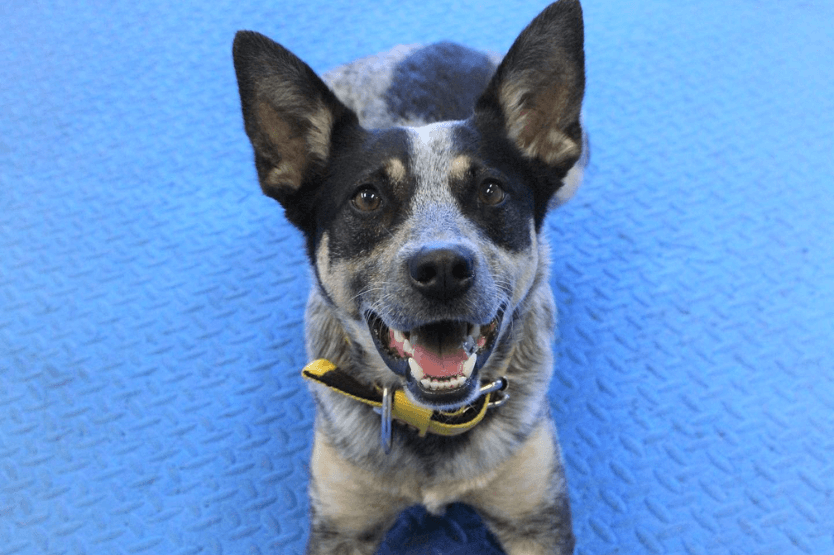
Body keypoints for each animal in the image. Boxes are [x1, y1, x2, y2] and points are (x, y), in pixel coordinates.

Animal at [232, 2, 584, 552]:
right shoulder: (340, 525)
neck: (431, 422)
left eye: (491, 190)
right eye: (367, 197)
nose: (442, 269)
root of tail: (432, 45)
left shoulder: (537, 517)